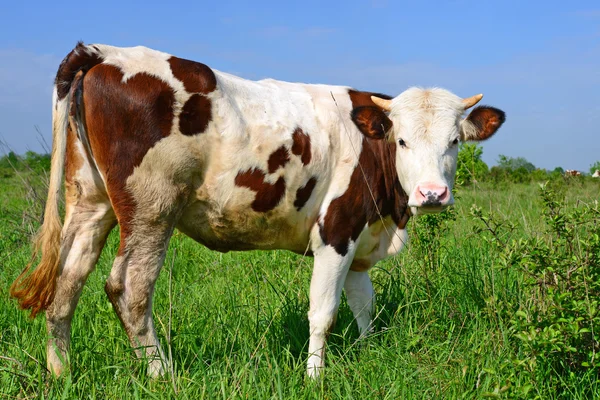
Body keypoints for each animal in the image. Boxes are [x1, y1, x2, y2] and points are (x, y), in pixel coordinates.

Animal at [9, 43, 506, 378]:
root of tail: (106, 52)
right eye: (401, 141)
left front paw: (369, 351)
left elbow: (364, 304)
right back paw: (161, 375)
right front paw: (314, 377)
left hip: (90, 199)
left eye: (454, 141)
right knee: (128, 288)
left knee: (66, 282)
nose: (432, 194)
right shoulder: (336, 231)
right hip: (152, 207)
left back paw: (61, 371)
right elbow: (323, 311)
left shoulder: (362, 236)